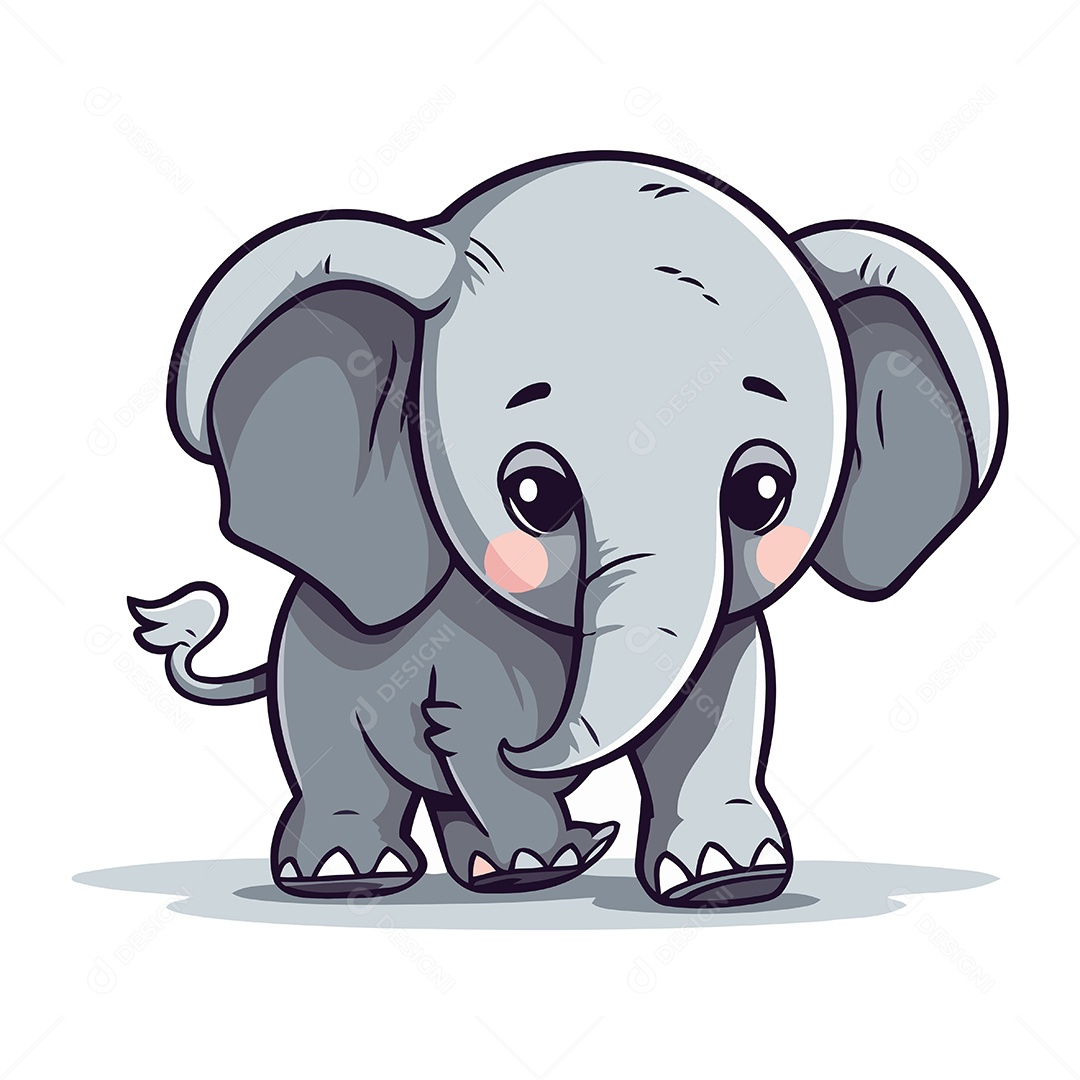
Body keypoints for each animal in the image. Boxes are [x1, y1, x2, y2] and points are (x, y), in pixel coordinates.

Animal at [128, 151, 1006, 908]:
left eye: (762, 493)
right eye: (535, 494)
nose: (454, 728)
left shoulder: (725, 630)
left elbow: (718, 710)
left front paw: (728, 879)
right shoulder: (460, 640)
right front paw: (538, 844)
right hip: (312, 671)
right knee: (338, 760)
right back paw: (355, 874)